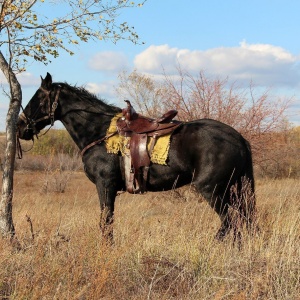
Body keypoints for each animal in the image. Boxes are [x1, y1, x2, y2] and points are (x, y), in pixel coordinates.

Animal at [17, 73, 255, 241]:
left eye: (38, 99)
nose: (20, 127)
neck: (99, 131)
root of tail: (238, 138)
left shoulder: (105, 185)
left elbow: (106, 222)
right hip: (233, 190)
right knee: (242, 221)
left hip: (213, 190)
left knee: (230, 223)